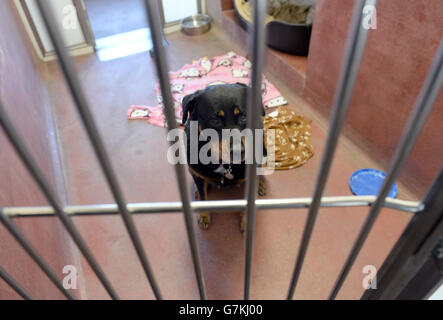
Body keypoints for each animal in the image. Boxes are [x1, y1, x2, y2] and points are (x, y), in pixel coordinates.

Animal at [181, 84, 268, 231]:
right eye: (215, 120)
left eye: (244, 116)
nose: (239, 151)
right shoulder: (196, 172)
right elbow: (203, 198)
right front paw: (204, 215)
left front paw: (246, 221)